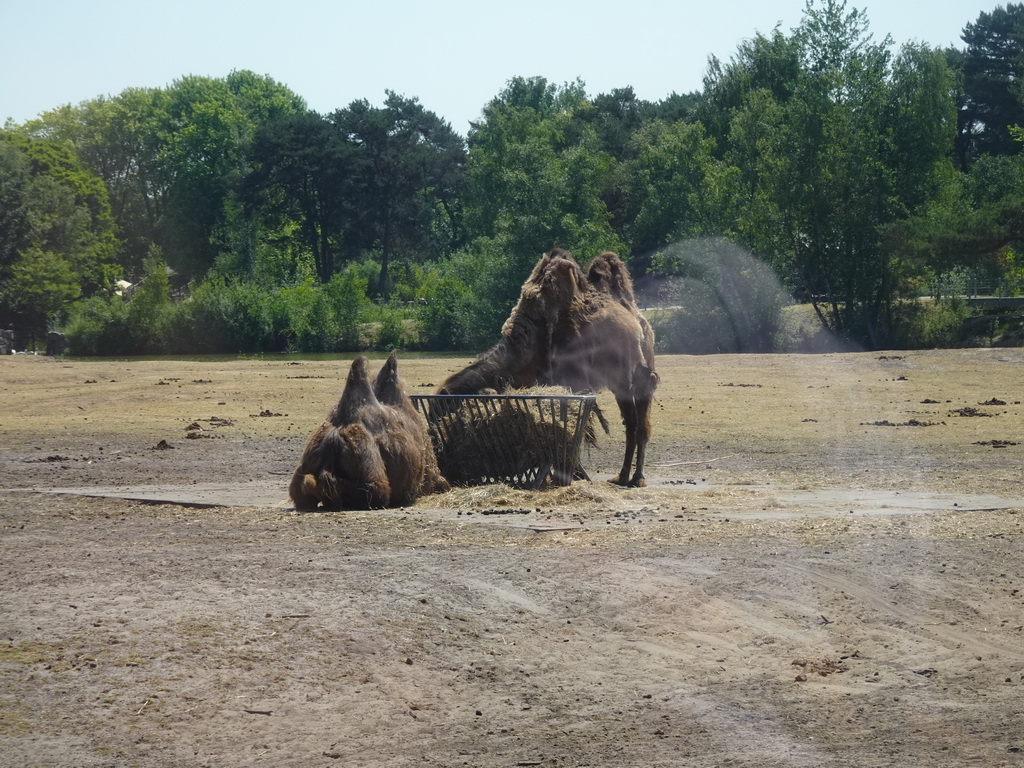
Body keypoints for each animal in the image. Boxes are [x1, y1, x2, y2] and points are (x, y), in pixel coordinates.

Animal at [438, 246, 659, 487]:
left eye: (444, 413)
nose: (442, 456)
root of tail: (639, 320)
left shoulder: (575, 381)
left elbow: (574, 427)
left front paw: (572, 473)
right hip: (621, 384)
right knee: (632, 424)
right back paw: (623, 476)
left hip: (639, 377)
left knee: (640, 425)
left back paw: (635, 477)